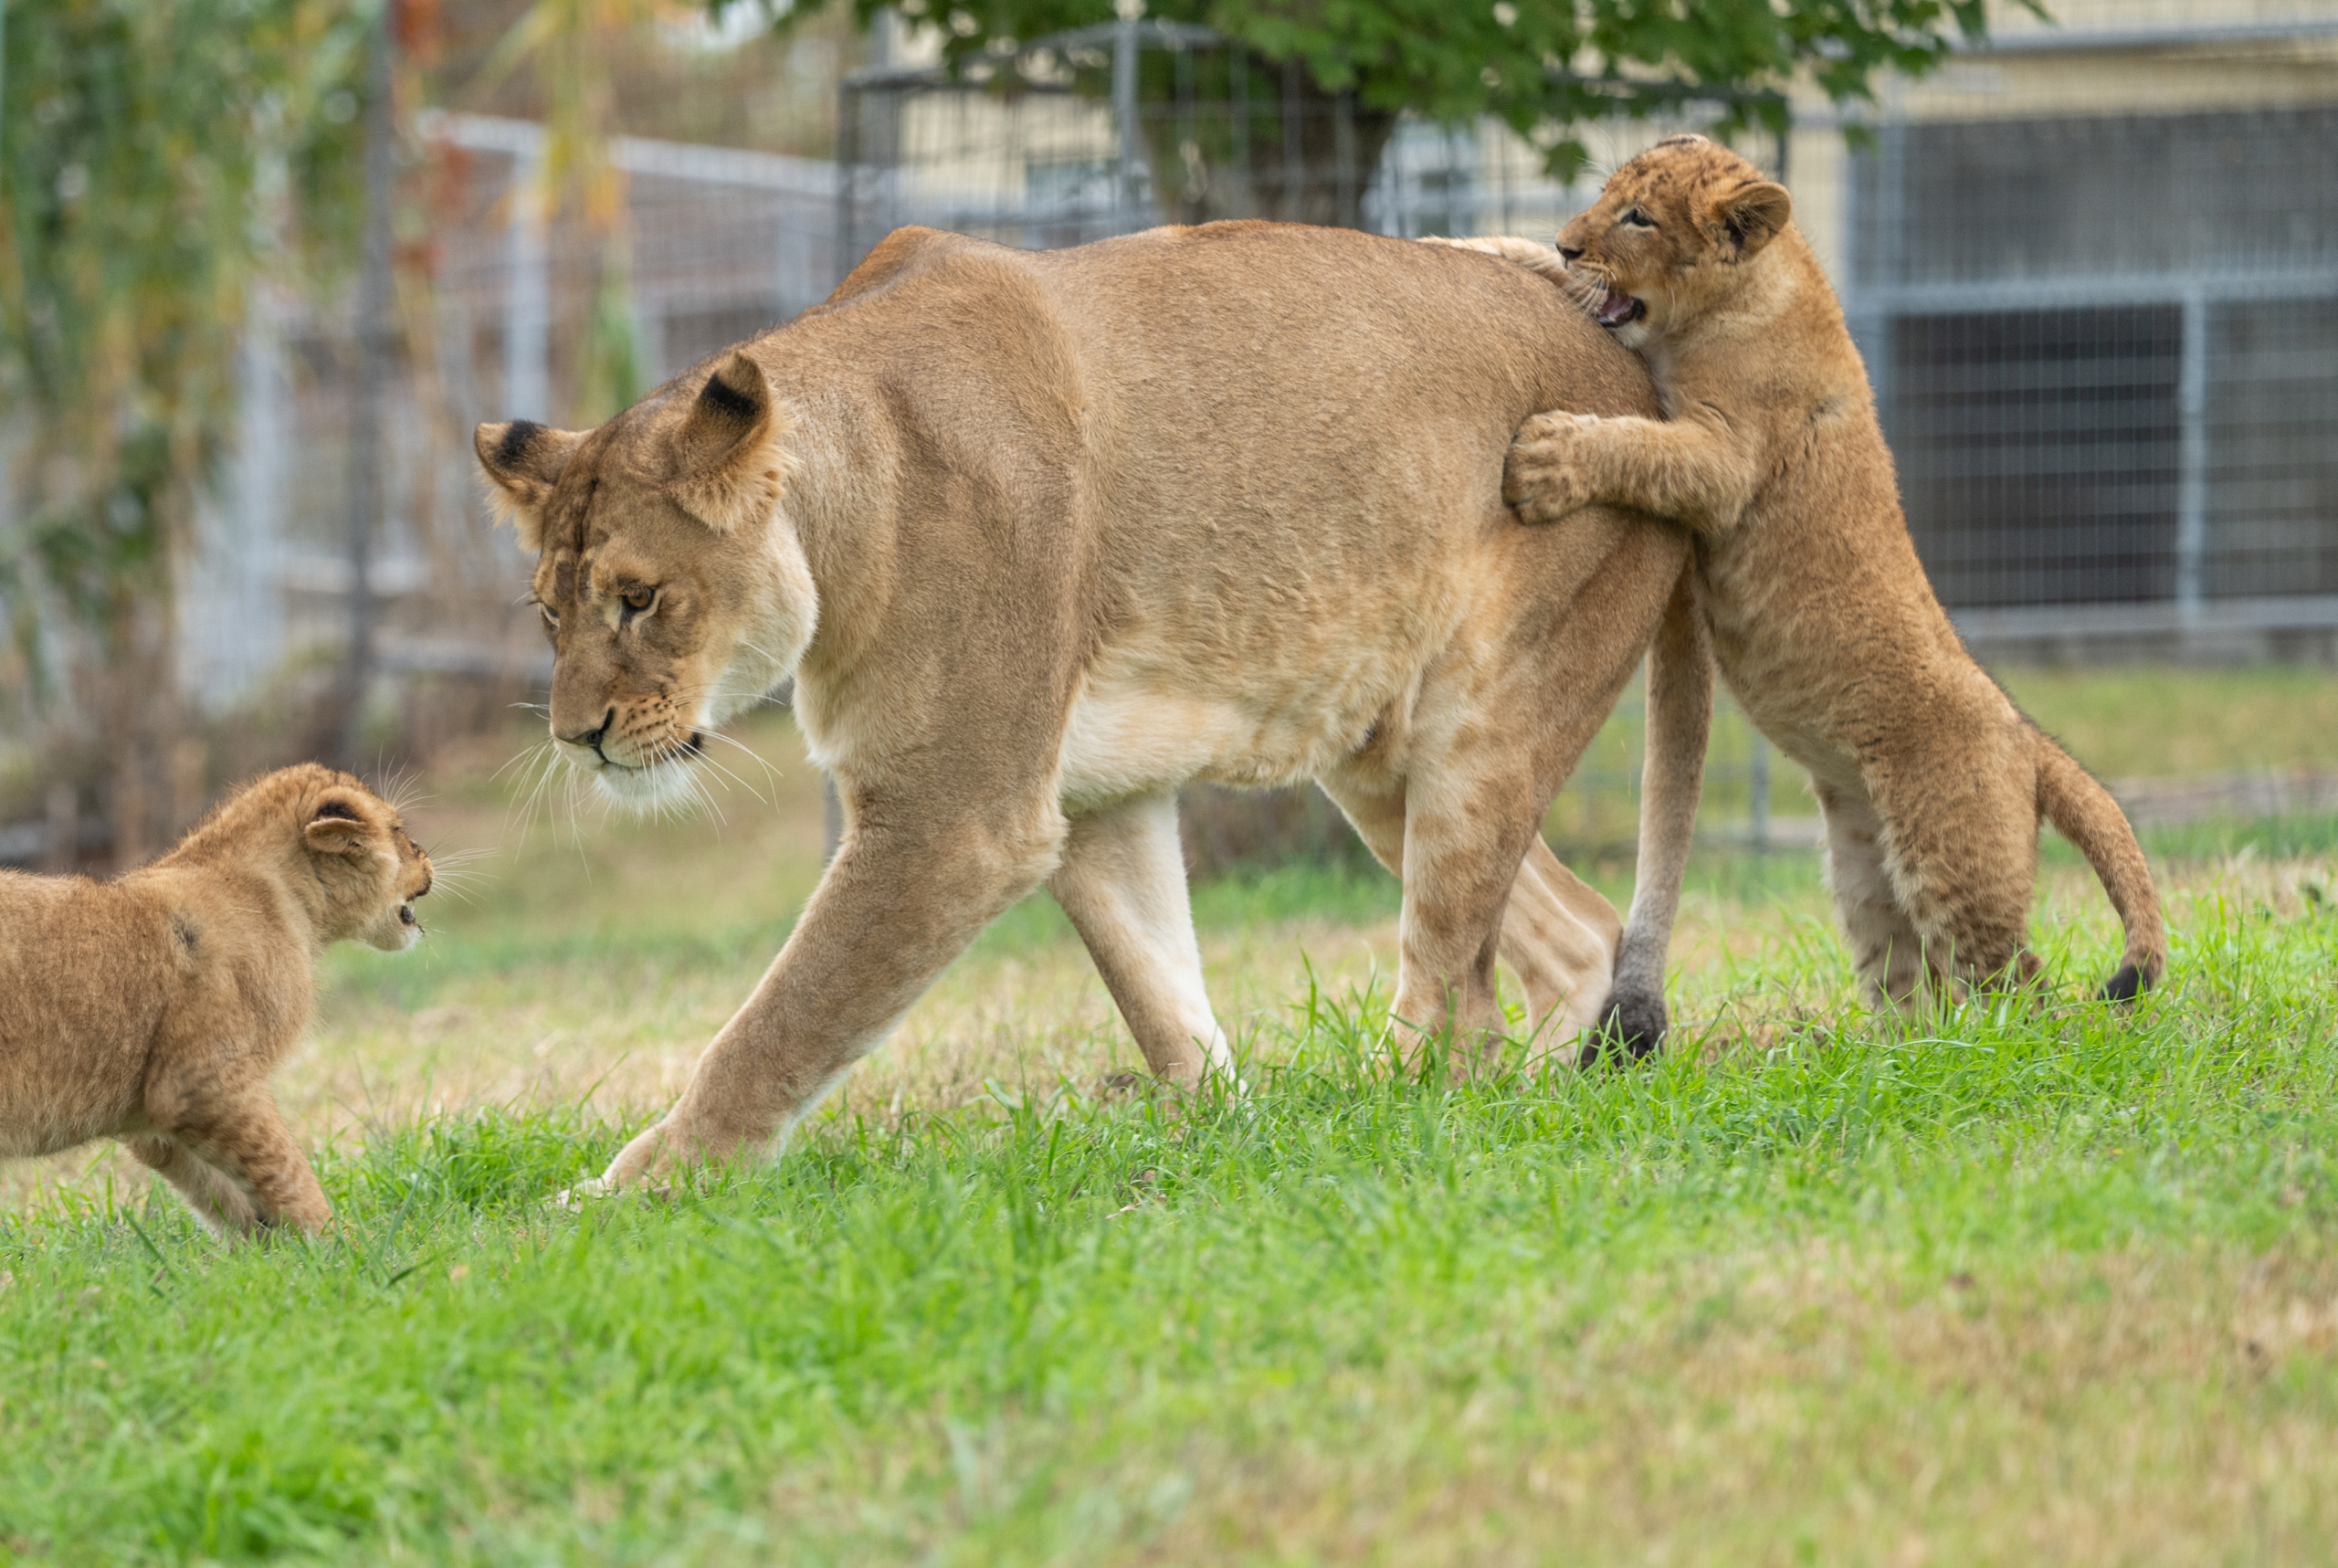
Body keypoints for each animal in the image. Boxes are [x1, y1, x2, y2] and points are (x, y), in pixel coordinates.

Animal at [0, 765, 432, 1235]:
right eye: (398, 830)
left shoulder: (152, 1115)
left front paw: (269, 1248)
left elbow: (219, 1190)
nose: (427, 857)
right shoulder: (200, 1082)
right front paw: (343, 1244)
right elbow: (287, 1170)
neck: (289, 903)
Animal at [474, 221, 1696, 1191]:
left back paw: (1407, 1128)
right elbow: (1160, 995)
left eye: (638, 598)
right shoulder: (1092, 799)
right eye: (548, 611)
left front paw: (620, 1201)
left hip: (1482, 719)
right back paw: (1537, 1103)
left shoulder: (955, 820)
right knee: (1576, 931)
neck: (849, 500)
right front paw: (1217, 1141)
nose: (576, 737)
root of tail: (1640, 376)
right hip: (1377, 752)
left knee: (1458, 1008)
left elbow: (773, 1026)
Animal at [1477, 136, 2166, 1038]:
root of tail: (2027, 736)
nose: (1566, 243)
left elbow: (1633, 445)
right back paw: (1888, 1053)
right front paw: (1495, 247)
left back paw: (1995, 1049)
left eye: (1639, 218)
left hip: (1954, 856)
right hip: (1864, 867)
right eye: (1604, 198)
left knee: (2020, 982)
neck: (1751, 288)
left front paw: (1543, 458)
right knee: (1910, 981)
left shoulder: (1724, 458)